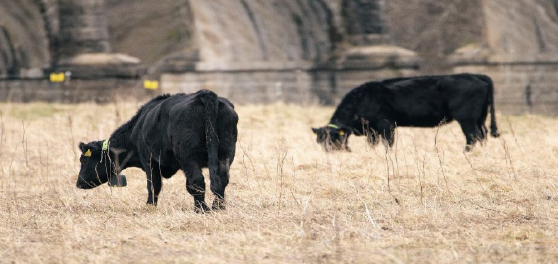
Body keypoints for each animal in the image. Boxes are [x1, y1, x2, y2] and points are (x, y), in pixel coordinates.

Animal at [76, 90, 238, 212]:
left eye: (84, 159)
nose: (78, 183)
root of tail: (205, 94)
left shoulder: (149, 161)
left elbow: (153, 185)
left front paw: (149, 206)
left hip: (188, 156)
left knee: (197, 181)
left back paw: (202, 209)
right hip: (225, 153)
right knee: (220, 180)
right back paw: (218, 208)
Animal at [312, 73, 500, 152]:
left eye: (333, 138)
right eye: (319, 141)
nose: (329, 153)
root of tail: (478, 76)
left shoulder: (386, 125)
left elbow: (388, 143)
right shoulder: (371, 130)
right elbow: (373, 144)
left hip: (466, 118)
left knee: (473, 135)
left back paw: (466, 153)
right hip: (480, 117)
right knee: (482, 135)